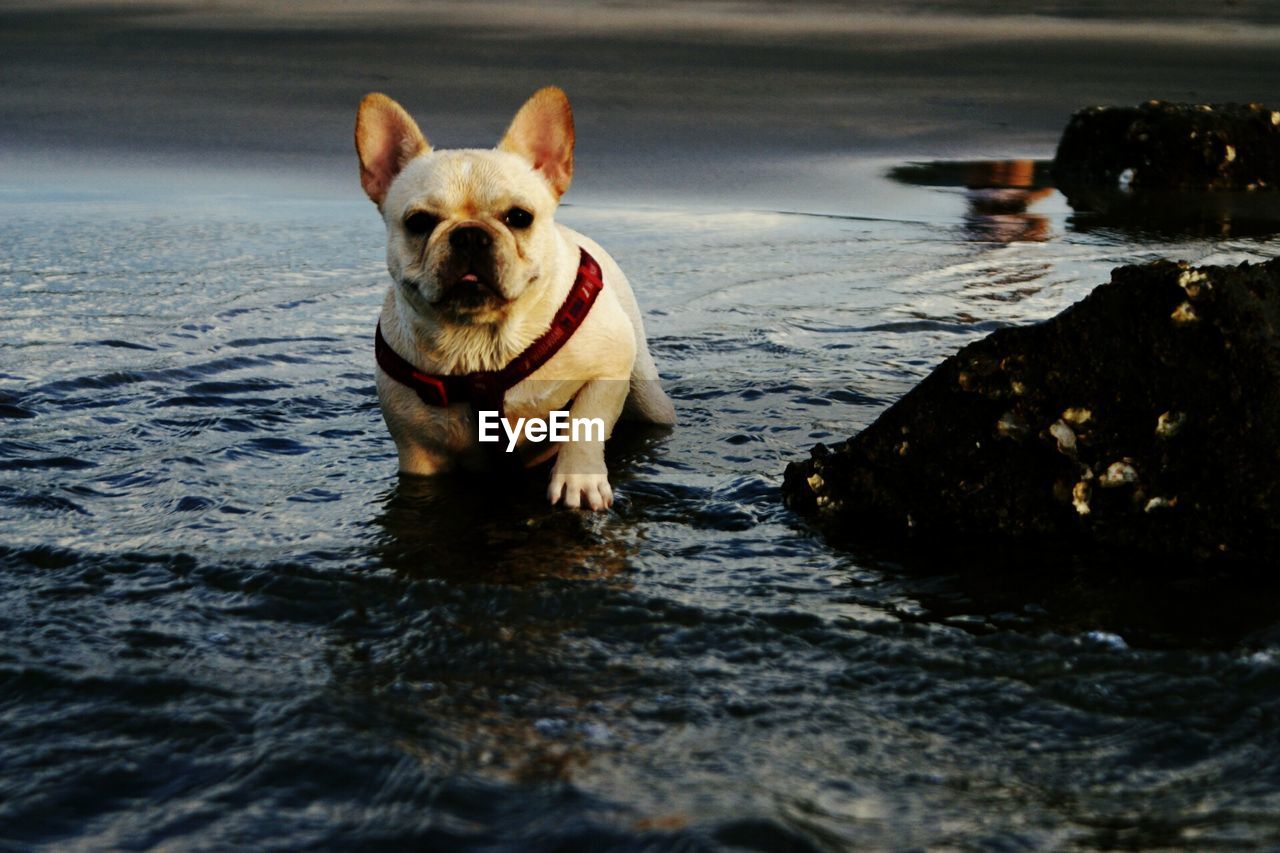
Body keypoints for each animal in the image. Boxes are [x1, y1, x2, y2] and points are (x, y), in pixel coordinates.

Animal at [350, 86, 670, 507]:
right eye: (418, 222)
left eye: (519, 217)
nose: (469, 234)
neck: (479, 343)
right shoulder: (418, 451)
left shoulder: (609, 365)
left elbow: (586, 421)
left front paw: (578, 479)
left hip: (648, 394)